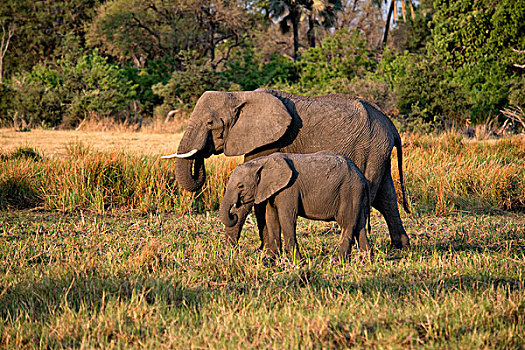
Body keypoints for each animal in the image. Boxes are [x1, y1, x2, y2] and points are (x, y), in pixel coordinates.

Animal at [163, 89, 410, 247]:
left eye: (210, 123)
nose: (201, 154)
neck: (239, 95)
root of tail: (391, 125)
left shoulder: (272, 141)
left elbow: (255, 200)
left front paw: (231, 251)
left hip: (370, 149)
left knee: (372, 197)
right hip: (378, 151)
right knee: (386, 197)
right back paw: (400, 246)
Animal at [219, 151, 370, 260]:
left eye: (241, 186)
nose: (233, 214)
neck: (263, 161)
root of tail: (362, 177)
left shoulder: (289, 188)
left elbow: (286, 217)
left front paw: (297, 261)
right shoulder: (272, 190)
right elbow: (271, 218)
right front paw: (271, 259)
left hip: (349, 191)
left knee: (347, 223)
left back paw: (339, 261)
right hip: (356, 195)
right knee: (360, 225)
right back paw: (368, 259)